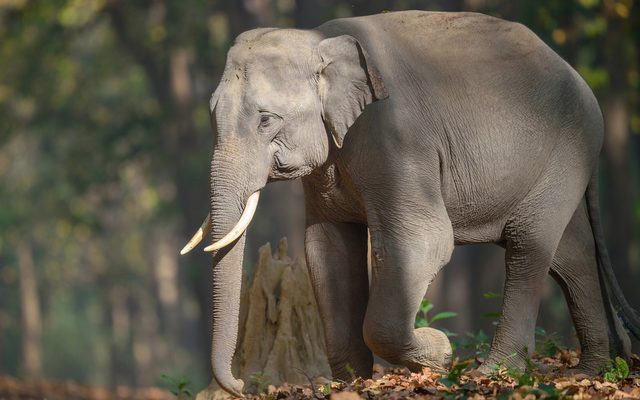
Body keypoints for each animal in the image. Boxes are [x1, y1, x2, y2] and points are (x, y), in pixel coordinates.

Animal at [180, 11, 640, 397]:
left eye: (265, 120)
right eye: (212, 116)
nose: (241, 384)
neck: (320, 39)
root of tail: (581, 81)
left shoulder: (396, 137)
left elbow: (425, 240)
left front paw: (440, 350)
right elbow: (327, 249)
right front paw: (351, 383)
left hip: (565, 150)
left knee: (529, 245)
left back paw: (494, 372)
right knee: (571, 253)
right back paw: (592, 370)